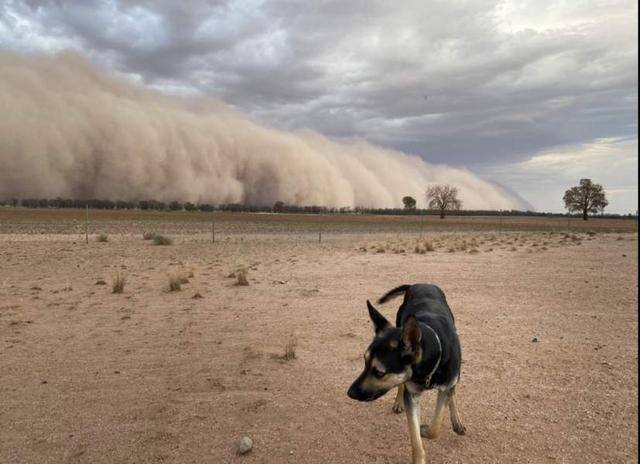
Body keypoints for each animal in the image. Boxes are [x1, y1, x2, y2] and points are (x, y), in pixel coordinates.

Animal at [348, 282, 468, 464]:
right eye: (365, 362)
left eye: (379, 373)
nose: (350, 393)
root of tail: (420, 283)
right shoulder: (412, 395)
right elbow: (416, 439)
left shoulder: (446, 384)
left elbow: (435, 426)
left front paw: (425, 429)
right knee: (401, 386)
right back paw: (398, 402)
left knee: (452, 392)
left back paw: (457, 421)